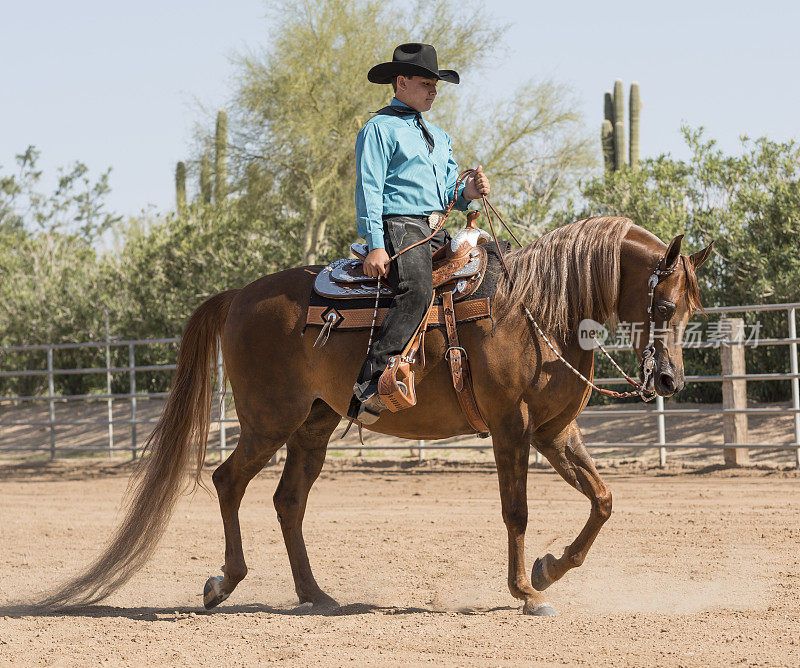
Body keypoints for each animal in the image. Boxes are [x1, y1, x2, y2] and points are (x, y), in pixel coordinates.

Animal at [40, 217, 712, 612]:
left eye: (691, 309)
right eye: (665, 304)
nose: (671, 379)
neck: (535, 310)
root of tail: (238, 296)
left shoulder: (553, 430)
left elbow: (602, 499)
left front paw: (548, 571)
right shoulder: (511, 428)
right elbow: (517, 511)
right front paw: (525, 590)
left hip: (313, 424)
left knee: (287, 501)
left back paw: (315, 594)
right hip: (269, 422)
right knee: (229, 481)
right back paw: (223, 582)